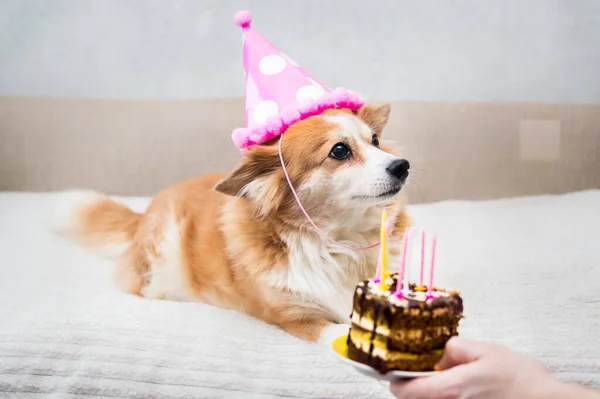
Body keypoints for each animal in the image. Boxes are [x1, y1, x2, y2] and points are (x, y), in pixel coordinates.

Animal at [54, 104, 410, 346]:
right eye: (339, 150)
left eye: (375, 141)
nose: (403, 166)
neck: (341, 239)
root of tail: (144, 214)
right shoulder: (297, 317)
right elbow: (339, 334)